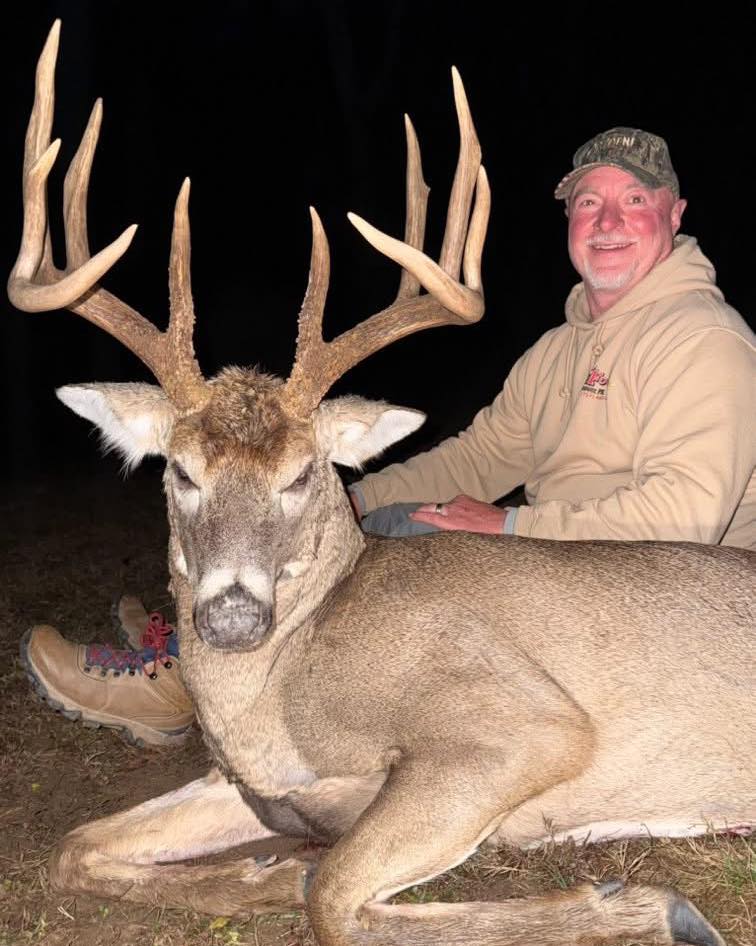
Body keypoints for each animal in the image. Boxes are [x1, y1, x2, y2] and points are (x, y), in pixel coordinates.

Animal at [9, 20, 755, 946]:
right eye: (182, 470)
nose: (231, 616)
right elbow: (75, 847)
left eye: (302, 475)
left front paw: (643, 907)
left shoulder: (525, 725)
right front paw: (258, 876)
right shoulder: (262, 787)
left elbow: (333, 897)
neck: (281, 694)